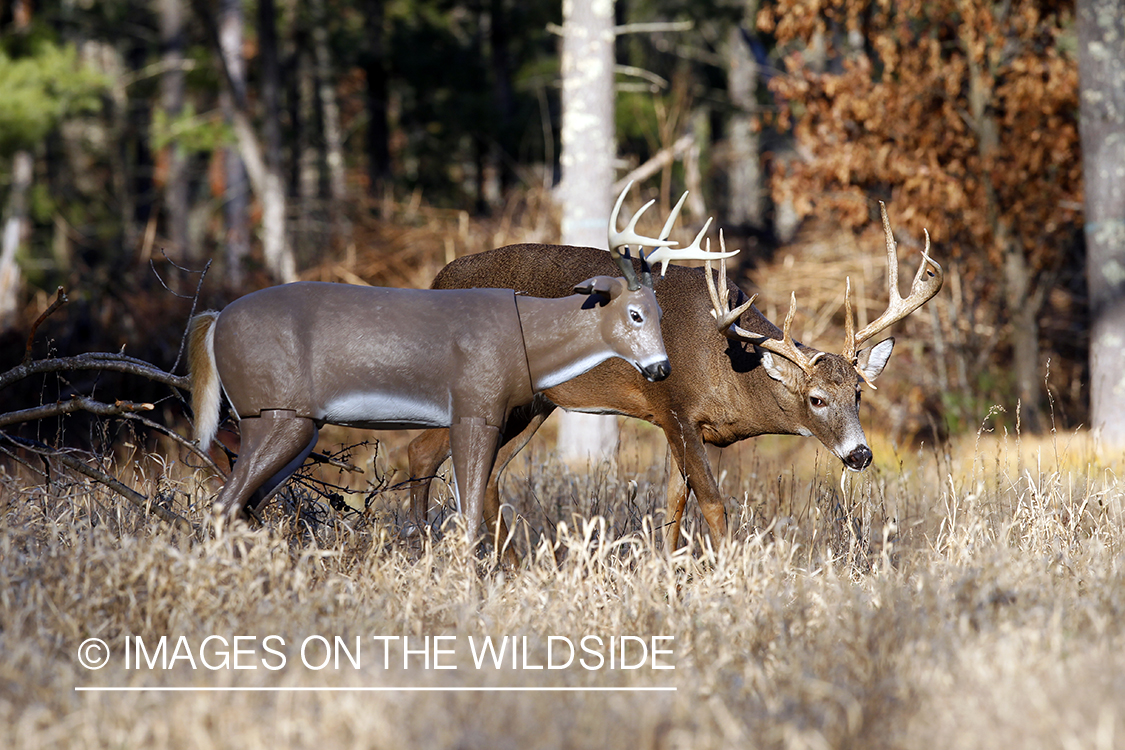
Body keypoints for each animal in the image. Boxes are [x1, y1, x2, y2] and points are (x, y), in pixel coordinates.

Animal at [405, 199, 940, 550]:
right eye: (816, 399)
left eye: (857, 393)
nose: (860, 454)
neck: (729, 362)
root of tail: (436, 279)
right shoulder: (675, 408)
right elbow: (713, 503)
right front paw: (729, 572)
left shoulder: (678, 424)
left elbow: (672, 503)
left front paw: (664, 570)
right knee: (424, 451)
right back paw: (424, 545)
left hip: (534, 402)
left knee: (483, 470)